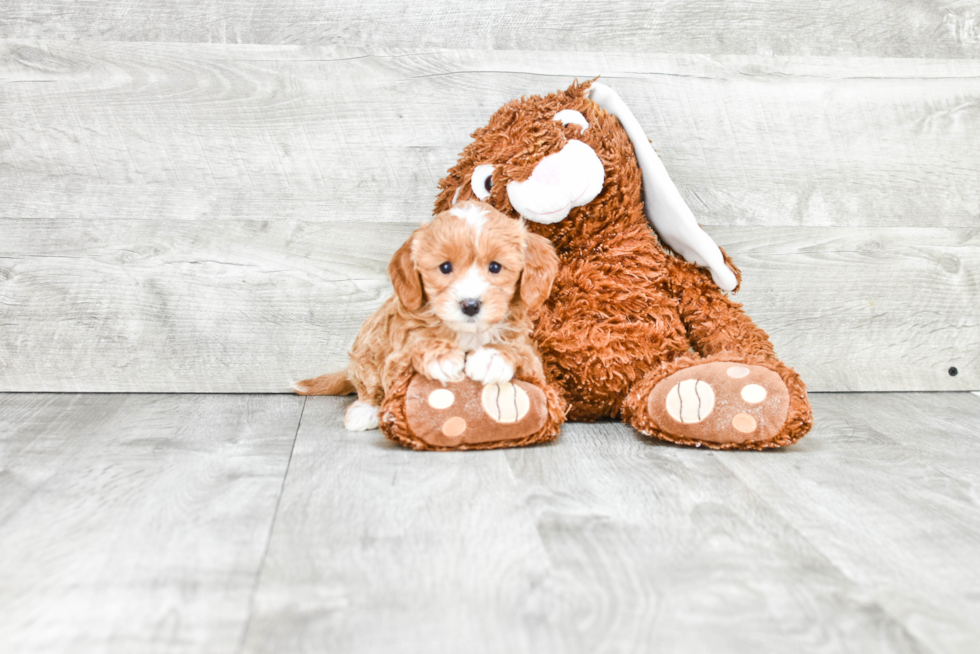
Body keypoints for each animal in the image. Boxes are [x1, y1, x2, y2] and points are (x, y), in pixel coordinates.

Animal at [292, 201, 560, 436]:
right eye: (445, 267)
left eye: (495, 267)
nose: (470, 305)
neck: (466, 333)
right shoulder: (396, 359)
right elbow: (414, 347)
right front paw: (440, 356)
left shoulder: (532, 359)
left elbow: (518, 352)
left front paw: (492, 356)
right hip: (367, 349)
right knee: (367, 385)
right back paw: (364, 411)